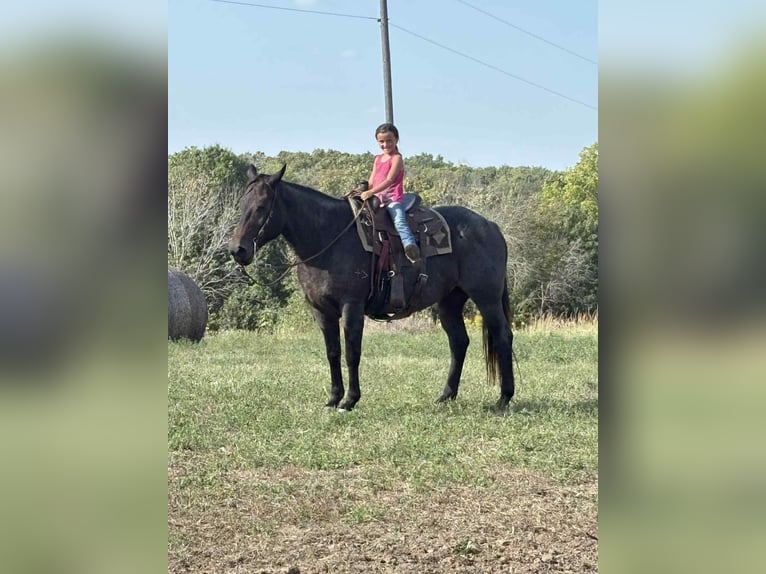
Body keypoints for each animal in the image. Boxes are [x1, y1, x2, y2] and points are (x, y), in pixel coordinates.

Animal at [228, 164, 515, 413]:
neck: (329, 239)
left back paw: (504, 397)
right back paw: (446, 395)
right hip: (449, 302)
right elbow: (333, 353)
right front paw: (333, 398)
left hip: (487, 299)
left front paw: (350, 400)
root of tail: (491, 226)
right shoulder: (321, 311)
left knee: (502, 336)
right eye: (242, 205)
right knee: (458, 342)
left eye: (262, 207)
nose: (237, 250)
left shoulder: (351, 307)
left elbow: (352, 352)